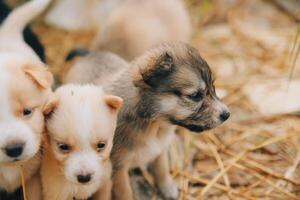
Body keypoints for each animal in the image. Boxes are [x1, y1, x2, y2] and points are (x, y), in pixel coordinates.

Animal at [65, 41, 230, 199]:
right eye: (195, 96)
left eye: (213, 87)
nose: (227, 114)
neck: (154, 126)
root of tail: (90, 54)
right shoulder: (118, 168)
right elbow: (125, 192)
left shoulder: (160, 149)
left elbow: (161, 169)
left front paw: (168, 187)